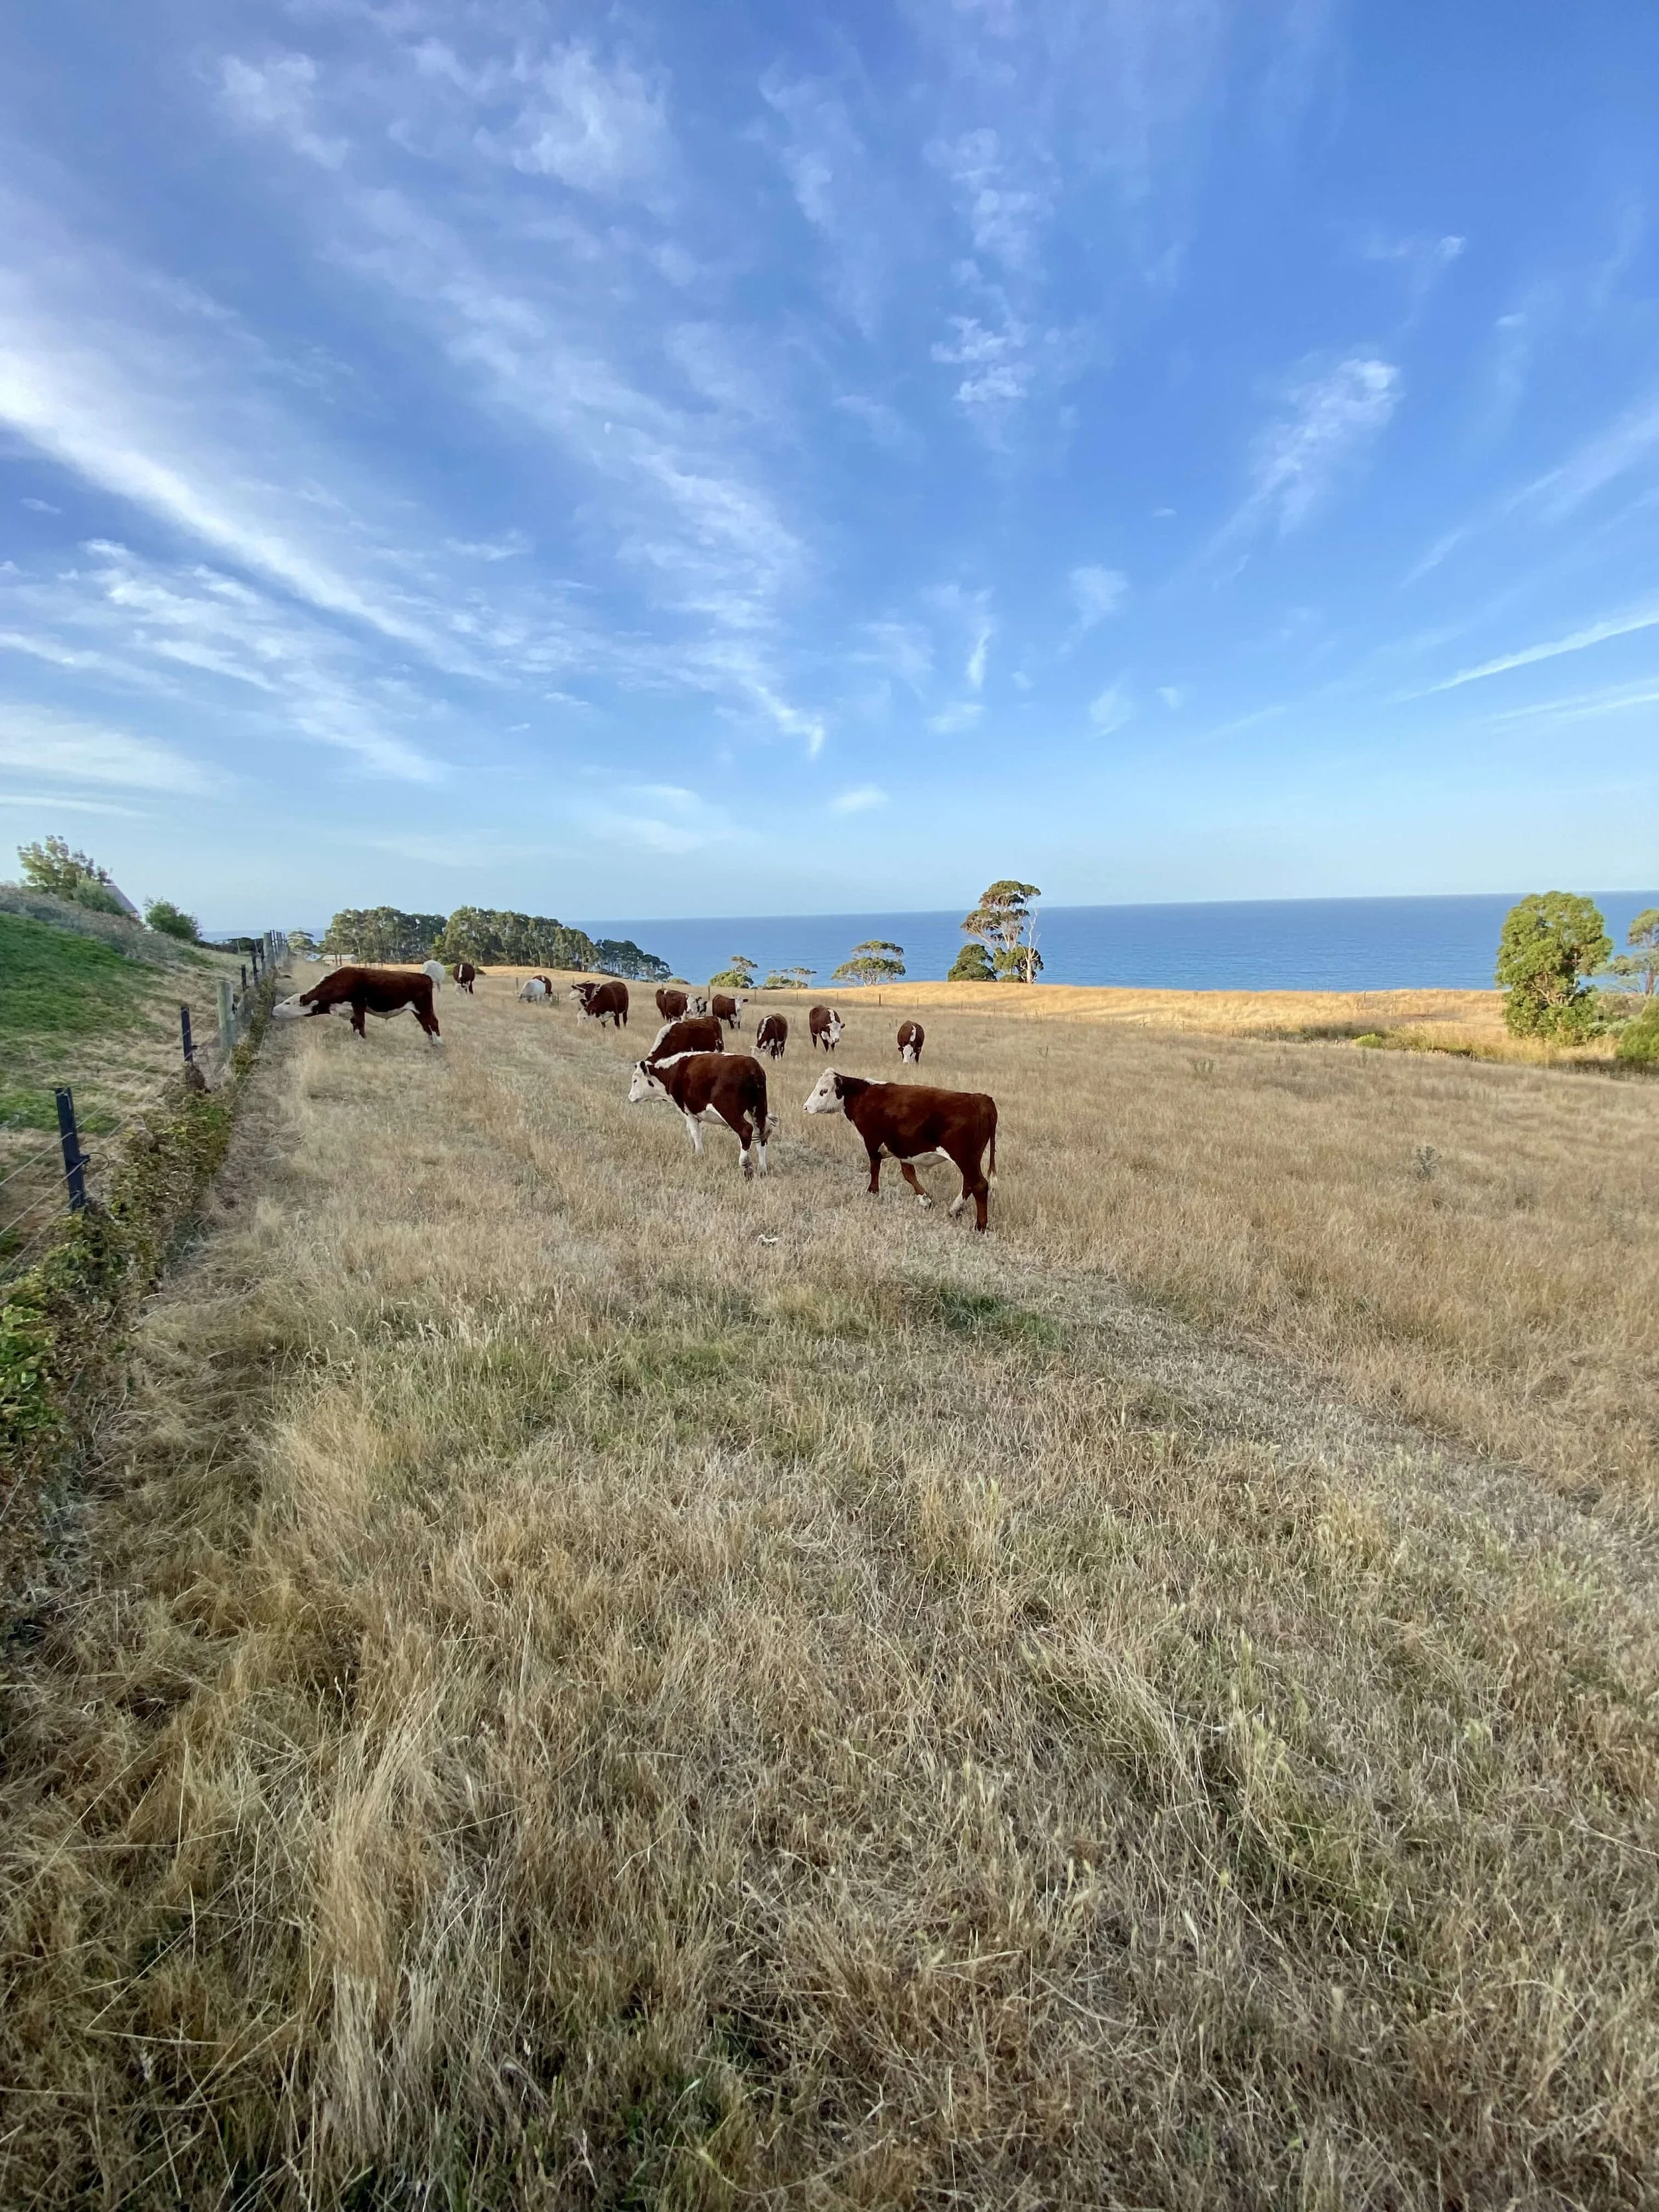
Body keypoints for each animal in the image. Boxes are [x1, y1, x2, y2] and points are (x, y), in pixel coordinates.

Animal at [273, 965, 441, 1044]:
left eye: (288, 1002)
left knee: (433, 1022)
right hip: (417, 1010)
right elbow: (355, 1023)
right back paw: (430, 1044)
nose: (274, 1010)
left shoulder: (358, 1005)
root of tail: (424, 976)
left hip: (423, 1006)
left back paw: (439, 1043)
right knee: (425, 1025)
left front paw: (362, 1040)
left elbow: (360, 1023)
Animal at [627, 1052, 776, 1178]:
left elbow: (695, 1132)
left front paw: (699, 1155)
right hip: (758, 1109)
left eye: (635, 1080)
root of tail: (751, 1066)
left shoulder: (687, 1111)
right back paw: (762, 1169)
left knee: (746, 1130)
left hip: (729, 1110)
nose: (630, 1097)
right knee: (761, 1134)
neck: (673, 1071)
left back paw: (745, 1164)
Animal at [803, 1071, 996, 1231]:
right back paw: (954, 1209)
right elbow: (908, 1174)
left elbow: (875, 1167)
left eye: (823, 1091)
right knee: (969, 1184)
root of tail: (981, 1099)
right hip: (971, 1160)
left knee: (979, 1185)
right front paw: (924, 1199)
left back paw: (980, 1226)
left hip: (965, 1158)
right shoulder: (905, 1148)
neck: (864, 1097)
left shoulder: (872, 1142)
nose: (806, 1107)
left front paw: (872, 1192)